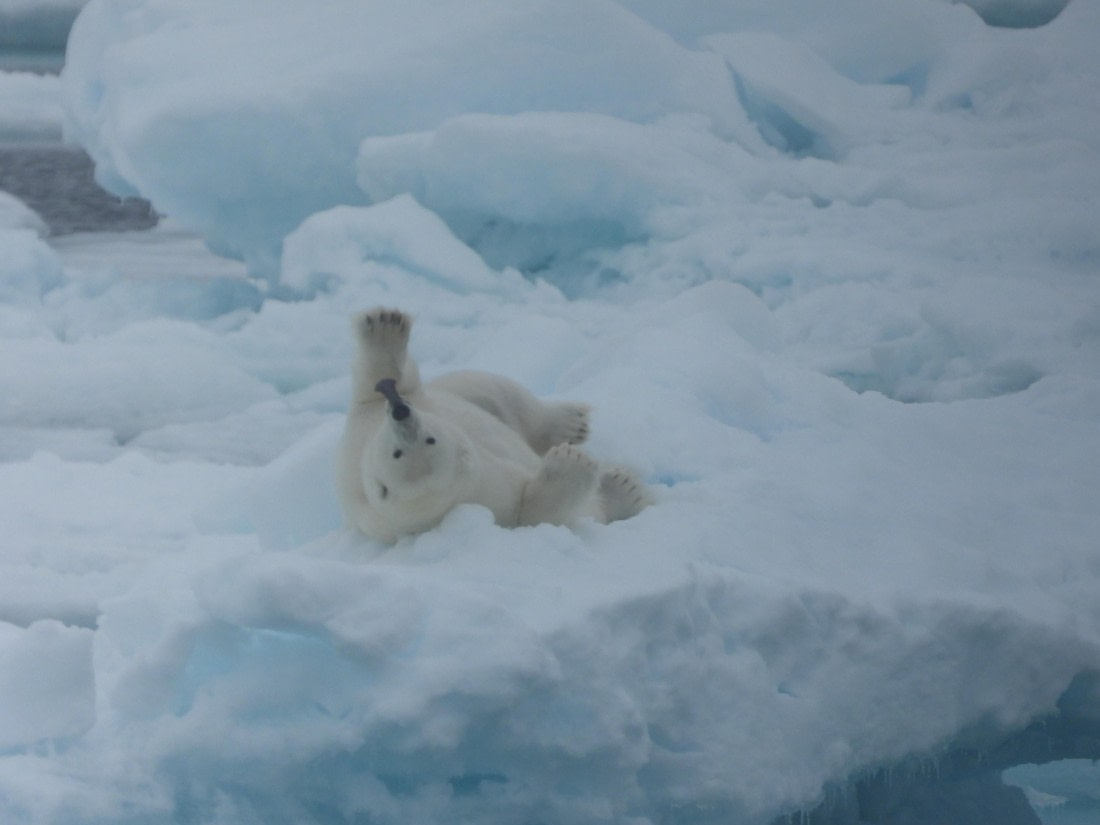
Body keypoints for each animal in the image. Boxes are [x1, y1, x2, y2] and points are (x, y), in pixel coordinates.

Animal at [337, 307, 649, 543]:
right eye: (398, 453)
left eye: (429, 437)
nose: (400, 412)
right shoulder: (492, 500)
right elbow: (534, 514)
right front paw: (571, 463)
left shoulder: (362, 431)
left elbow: (378, 385)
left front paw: (384, 325)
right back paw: (623, 488)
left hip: (461, 390)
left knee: (496, 390)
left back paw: (571, 422)